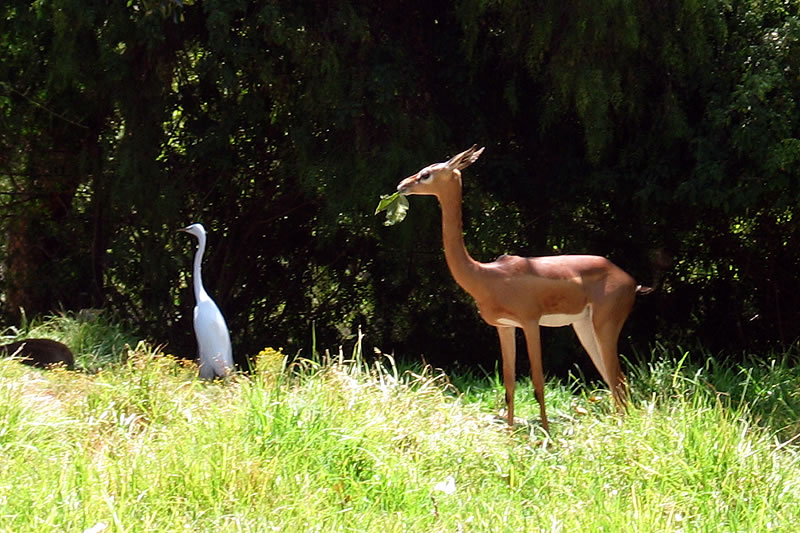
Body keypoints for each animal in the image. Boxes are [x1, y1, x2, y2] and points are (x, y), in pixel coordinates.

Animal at [396, 145, 651, 432]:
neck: (486, 276)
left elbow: (538, 382)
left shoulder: (530, 323)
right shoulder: (504, 326)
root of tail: (631, 281)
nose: (402, 185)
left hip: (605, 325)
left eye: (426, 174)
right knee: (614, 379)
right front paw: (509, 434)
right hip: (584, 326)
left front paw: (546, 435)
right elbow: (509, 383)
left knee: (618, 378)